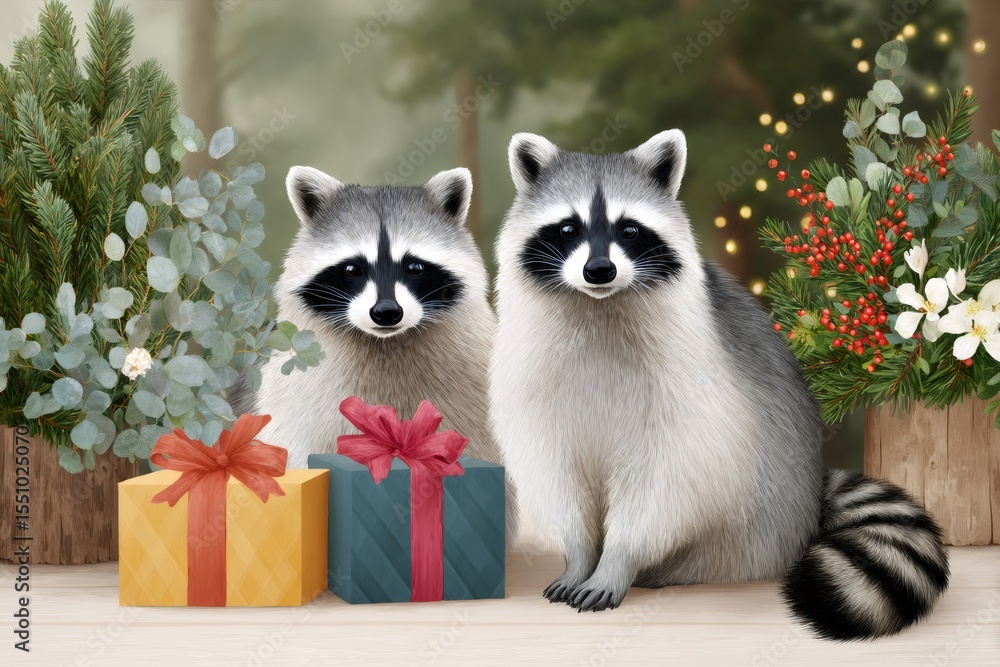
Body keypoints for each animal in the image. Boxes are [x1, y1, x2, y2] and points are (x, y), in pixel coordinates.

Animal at [490, 130, 948, 639]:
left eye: (629, 230)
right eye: (568, 229)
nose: (599, 271)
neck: (597, 303)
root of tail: (809, 501)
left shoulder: (688, 384)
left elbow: (664, 478)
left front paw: (616, 562)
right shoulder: (529, 377)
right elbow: (557, 473)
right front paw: (580, 558)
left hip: (752, 528)